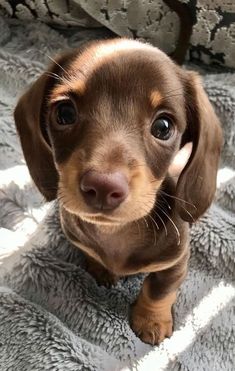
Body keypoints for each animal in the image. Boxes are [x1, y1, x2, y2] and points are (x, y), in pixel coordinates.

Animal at [13, 39, 223, 348]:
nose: (103, 186)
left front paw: (152, 320)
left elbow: (158, 290)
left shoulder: (176, 262)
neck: (117, 233)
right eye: (65, 113)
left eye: (163, 126)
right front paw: (101, 268)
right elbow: (93, 255)